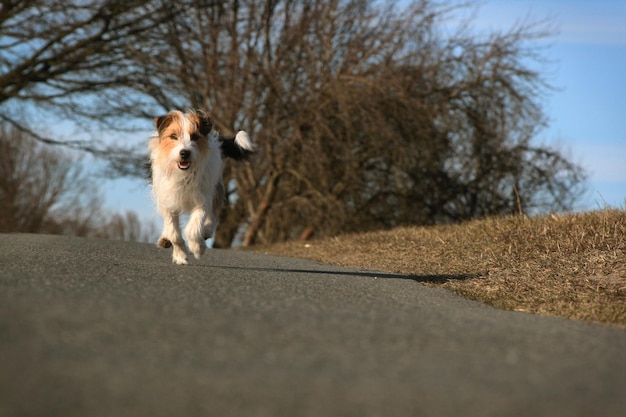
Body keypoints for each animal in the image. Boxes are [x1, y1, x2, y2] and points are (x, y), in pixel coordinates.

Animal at [147, 108, 252, 264]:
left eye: (195, 137)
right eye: (173, 136)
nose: (184, 153)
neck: (184, 174)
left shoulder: (202, 199)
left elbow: (193, 228)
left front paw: (198, 248)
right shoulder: (168, 199)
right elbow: (173, 232)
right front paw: (180, 255)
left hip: (216, 187)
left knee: (213, 214)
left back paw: (206, 231)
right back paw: (165, 240)